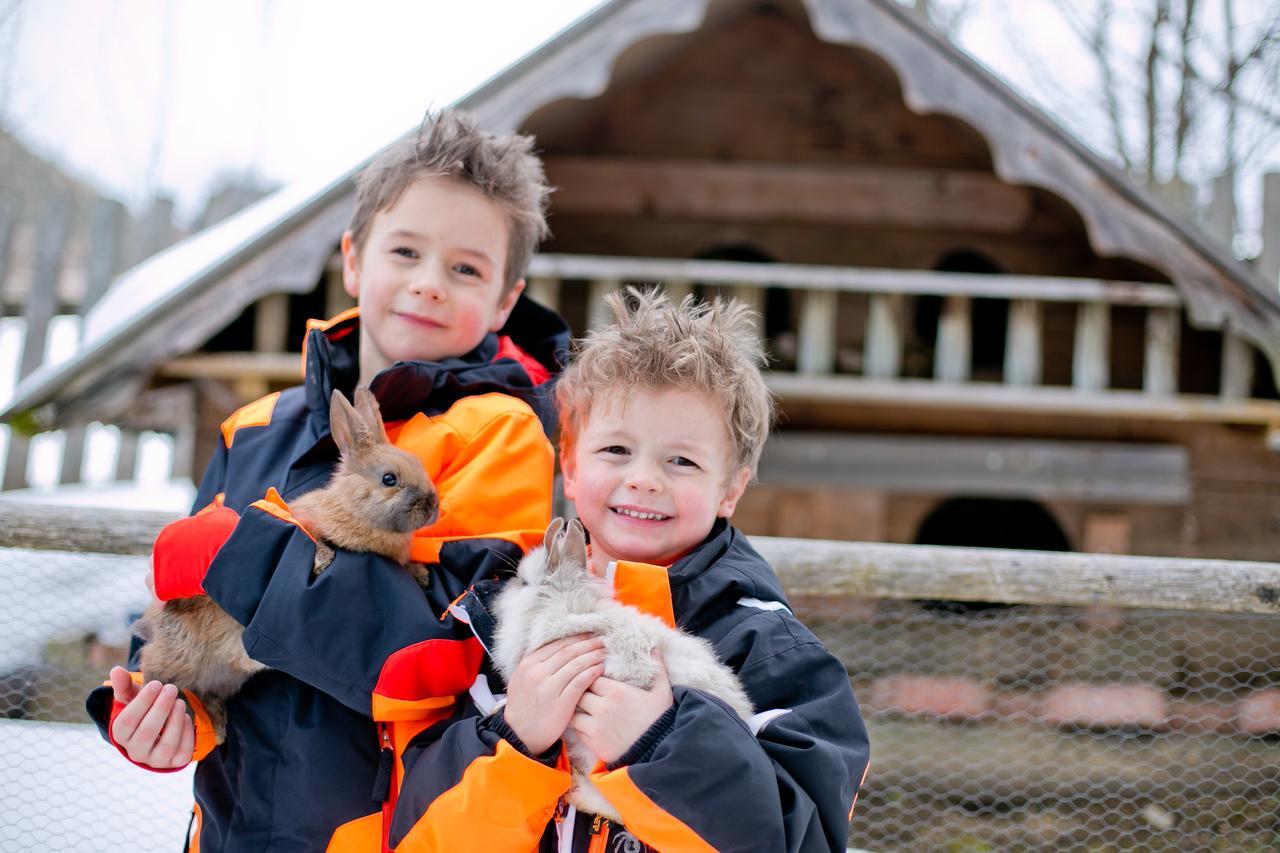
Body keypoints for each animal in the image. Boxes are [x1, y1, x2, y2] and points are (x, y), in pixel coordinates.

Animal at [131, 381, 437, 742]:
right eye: (389, 479)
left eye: (420, 464)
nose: (432, 504)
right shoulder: (307, 522)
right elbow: (314, 537)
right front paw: (323, 560)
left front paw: (420, 574)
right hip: (181, 653)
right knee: (155, 671)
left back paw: (216, 724)